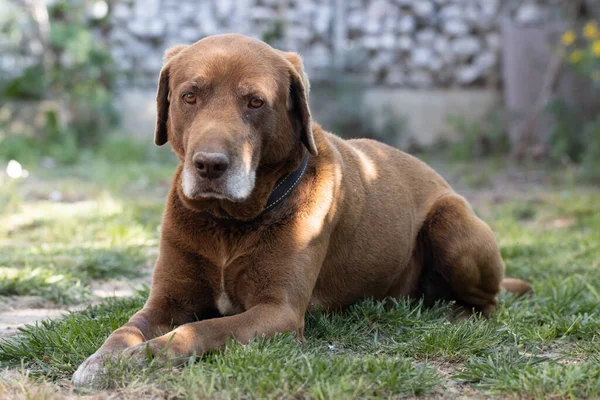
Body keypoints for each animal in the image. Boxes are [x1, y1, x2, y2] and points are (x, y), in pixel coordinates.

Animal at [74, 35, 528, 388]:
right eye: (189, 96)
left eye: (255, 102)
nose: (210, 165)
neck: (228, 223)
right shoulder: (167, 299)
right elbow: (127, 328)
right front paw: (102, 360)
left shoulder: (278, 311)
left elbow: (197, 330)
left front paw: (141, 358)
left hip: (452, 222)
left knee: (489, 302)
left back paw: (455, 312)